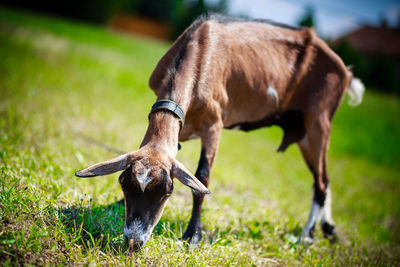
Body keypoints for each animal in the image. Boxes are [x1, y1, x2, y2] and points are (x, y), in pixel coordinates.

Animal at [76, 14, 366, 251]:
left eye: (168, 191)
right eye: (124, 183)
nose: (134, 241)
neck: (198, 52)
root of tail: (345, 71)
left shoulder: (214, 124)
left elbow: (202, 177)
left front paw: (192, 236)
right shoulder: (181, 126)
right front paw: (116, 205)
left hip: (319, 121)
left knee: (320, 182)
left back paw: (306, 237)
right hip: (305, 133)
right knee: (325, 179)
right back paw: (328, 230)